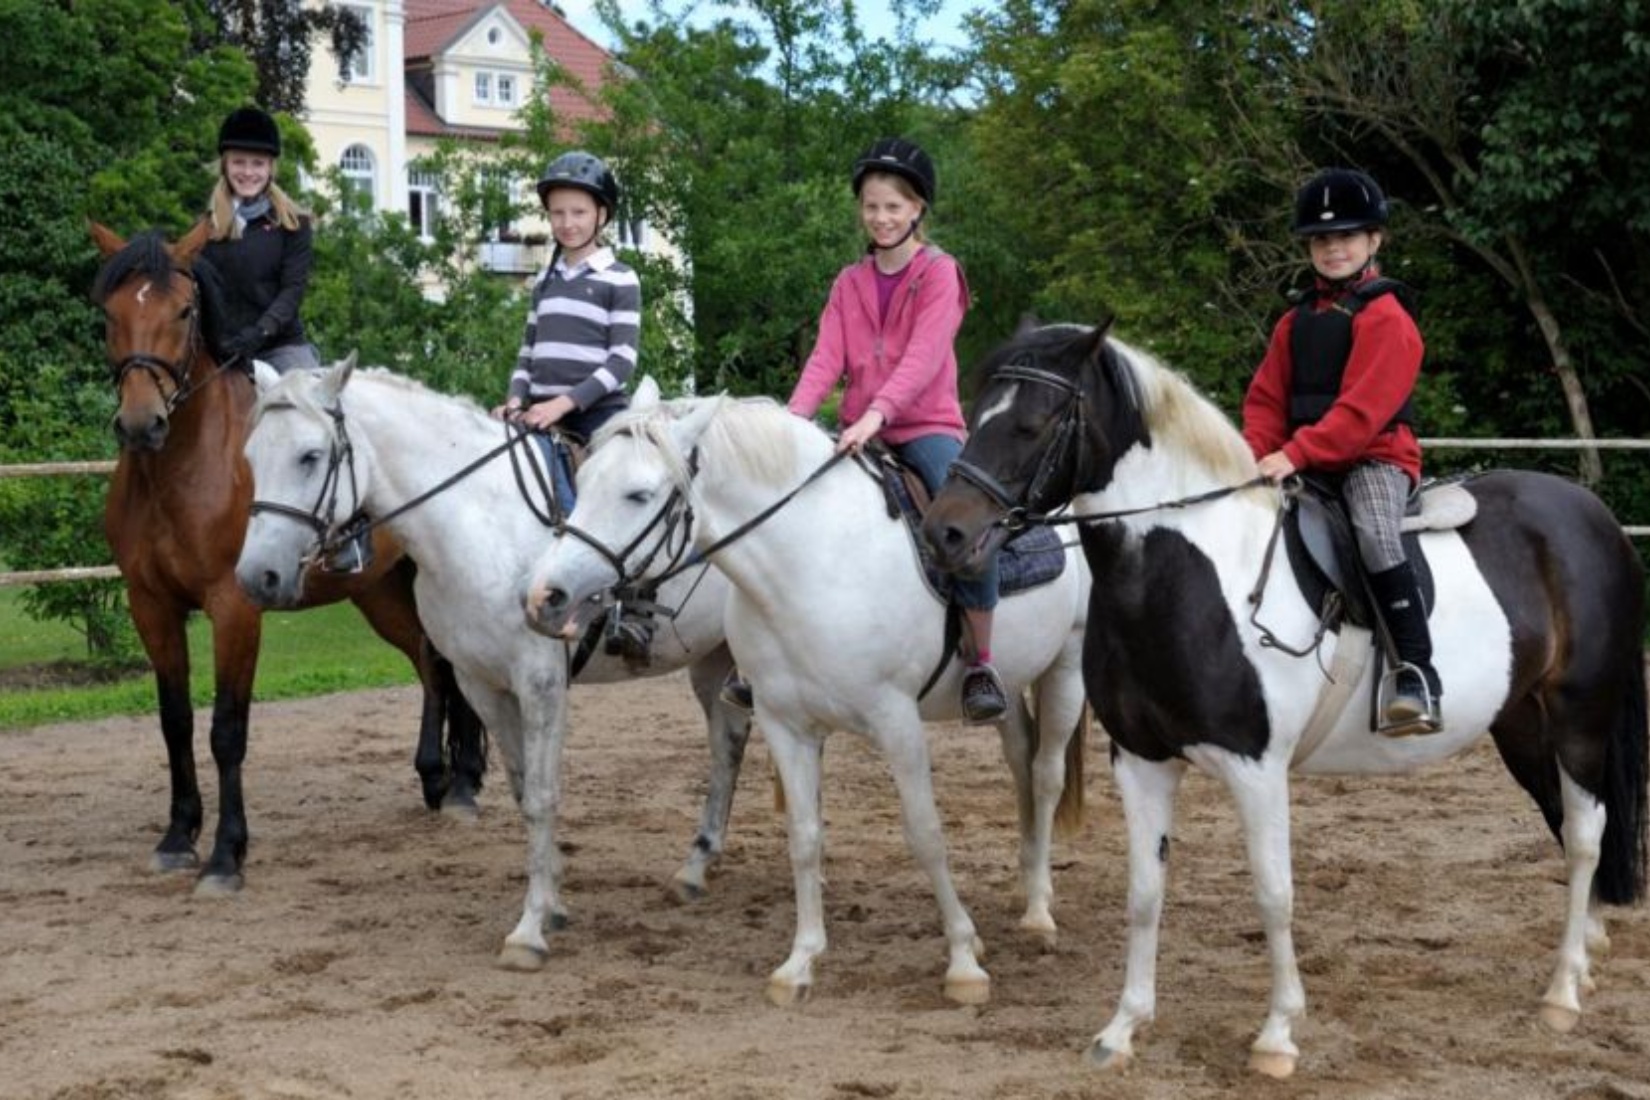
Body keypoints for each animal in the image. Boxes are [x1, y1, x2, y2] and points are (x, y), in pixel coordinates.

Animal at [91, 220, 481, 897]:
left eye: (184, 310)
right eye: (110, 314)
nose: (142, 425)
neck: (179, 472)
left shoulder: (234, 605)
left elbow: (226, 730)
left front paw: (226, 855)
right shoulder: (151, 606)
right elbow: (174, 721)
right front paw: (177, 838)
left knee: (445, 662)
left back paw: (462, 784)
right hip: (379, 592)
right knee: (429, 662)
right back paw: (437, 775)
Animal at [232, 357, 749, 969]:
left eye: (310, 456)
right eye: (251, 458)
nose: (256, 577)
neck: (479, 523)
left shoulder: (541, 684)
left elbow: (544, 798)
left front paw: (529, 931)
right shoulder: (480, 684)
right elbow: (525, 790)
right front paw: (552, 902)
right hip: (712, 658)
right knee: (728, 743)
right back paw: (696, 866)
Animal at [521, 389, 1095, 1009]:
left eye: (639, 495)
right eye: (584, 478)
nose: (544, 595)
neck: (813, 559)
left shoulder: (897, 722)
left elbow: (925, 835)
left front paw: (963, 961)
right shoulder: (785, 723)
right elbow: (804, 837)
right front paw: (799, 963)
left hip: (1066, 668)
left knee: (1045, 776)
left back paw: (1038, 911)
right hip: (1009, 686)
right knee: (1020, 764)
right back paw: (1024, 884)